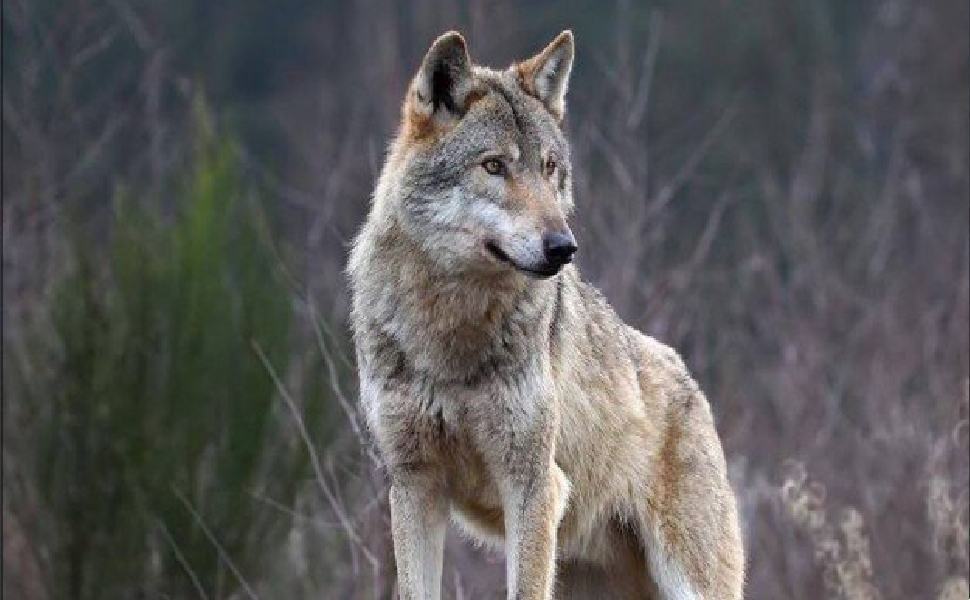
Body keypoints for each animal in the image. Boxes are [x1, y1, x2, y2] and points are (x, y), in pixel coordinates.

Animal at [348, 30, 744, 600]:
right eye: (494, 166)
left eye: (550, 168)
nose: (563, 247)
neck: (451, 329)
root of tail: (687, 378)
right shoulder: (414, 485)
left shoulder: (533, 485)